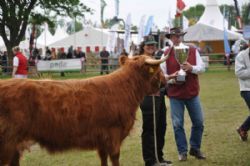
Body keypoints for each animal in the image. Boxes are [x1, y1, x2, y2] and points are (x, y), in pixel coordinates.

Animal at [0, 54, 168, 166]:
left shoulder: (102, 138)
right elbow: (115, 158)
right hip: (8, 142)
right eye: (157, 69)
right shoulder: (114, 133)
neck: (125, 88)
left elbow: (103, 159)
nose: (165, 81)